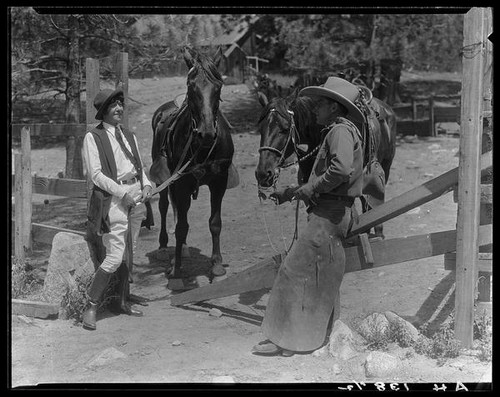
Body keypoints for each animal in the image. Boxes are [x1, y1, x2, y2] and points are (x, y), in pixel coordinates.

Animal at [148, 47, 234, 288]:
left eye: (218, 86)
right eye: (191, 87)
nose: (207, 133)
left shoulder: (219, 181)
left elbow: (215, 223)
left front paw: (217, 266)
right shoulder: (182, 183)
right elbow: (181, 227)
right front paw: (177, 271)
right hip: (166, 181)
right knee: (166, 207)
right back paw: (164, 248)